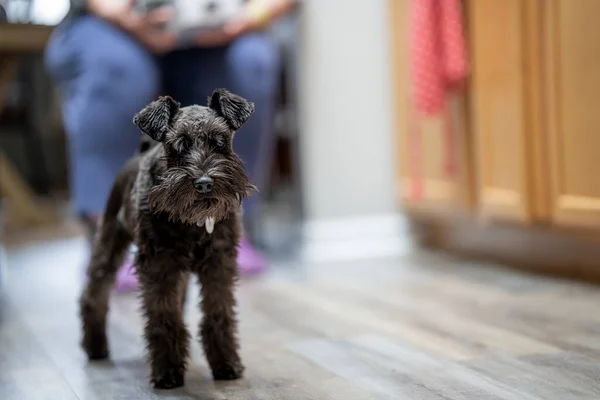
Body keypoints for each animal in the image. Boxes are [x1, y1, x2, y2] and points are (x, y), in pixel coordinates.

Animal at [78, 89, 255, 390]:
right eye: (178, 146)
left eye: (220, 141)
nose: (204, 183)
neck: (193, 221)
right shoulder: (159, 266)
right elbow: (163, 318)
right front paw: (168, 371)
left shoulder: (218, 264)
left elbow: (218, 314)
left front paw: (226, 364)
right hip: (110, 244)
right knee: (95, 293)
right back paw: (95, 347)